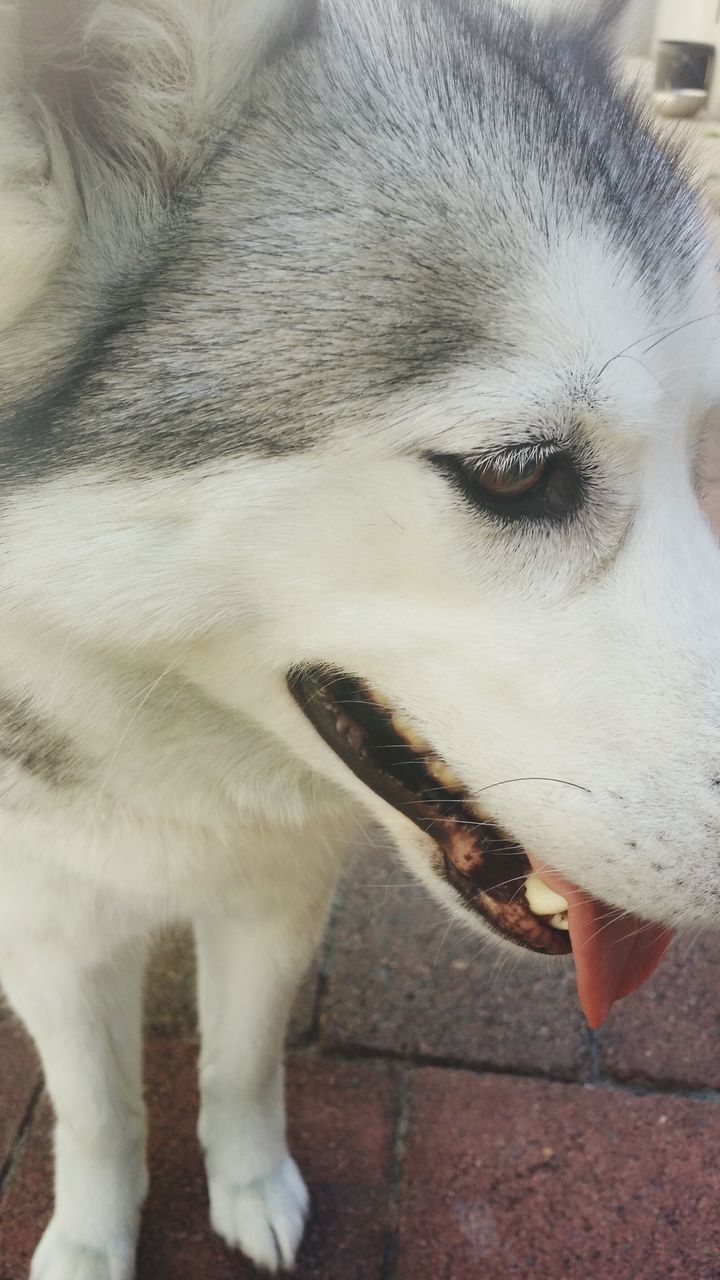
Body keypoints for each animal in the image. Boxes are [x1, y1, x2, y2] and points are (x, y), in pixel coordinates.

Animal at [1, 0, 717, 1274]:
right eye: (517, 470)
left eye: (700, 452)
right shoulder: (46, 925)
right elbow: (96, 1110)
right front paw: (89, 1239)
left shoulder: (277, 891)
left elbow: (239, 1063)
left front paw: (248, 1183)